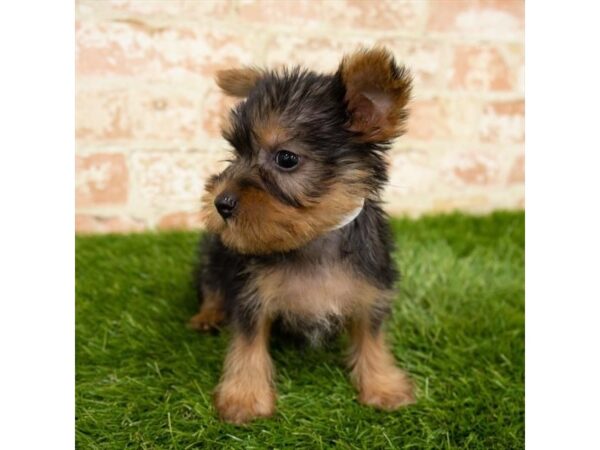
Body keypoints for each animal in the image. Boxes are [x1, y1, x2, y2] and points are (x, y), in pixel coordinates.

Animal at [190, 47, 414, 424]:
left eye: (286, 158)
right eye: (236, 153)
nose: (220, 202)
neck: (313, 240)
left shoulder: (371, 290)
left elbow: (372, 338)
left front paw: (383, 385)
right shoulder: (252, 295)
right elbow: (248, 345)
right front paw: (244, 397)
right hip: (213, 252)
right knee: (211, 286)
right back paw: (207, 316)